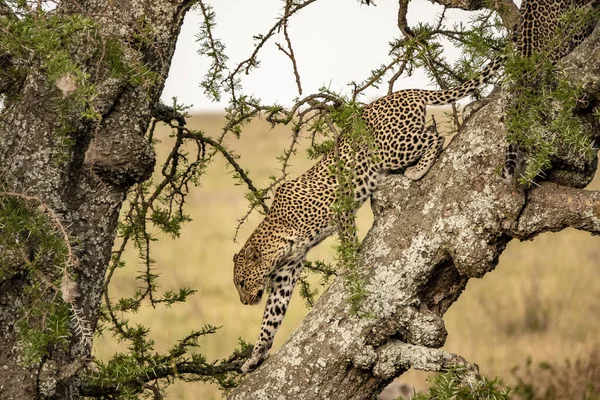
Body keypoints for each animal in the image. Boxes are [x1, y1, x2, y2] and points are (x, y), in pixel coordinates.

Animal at [232, 54, 504, 374]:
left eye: (242, 283)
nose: (244, 302)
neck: (278, 237)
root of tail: (406, 92)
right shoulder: (286, 272)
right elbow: (271, 318)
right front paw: (255, 355)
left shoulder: (340, 204)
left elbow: (348, 242)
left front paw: (350, 267)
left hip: (389, 148)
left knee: (433, 136)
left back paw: (417, 169)